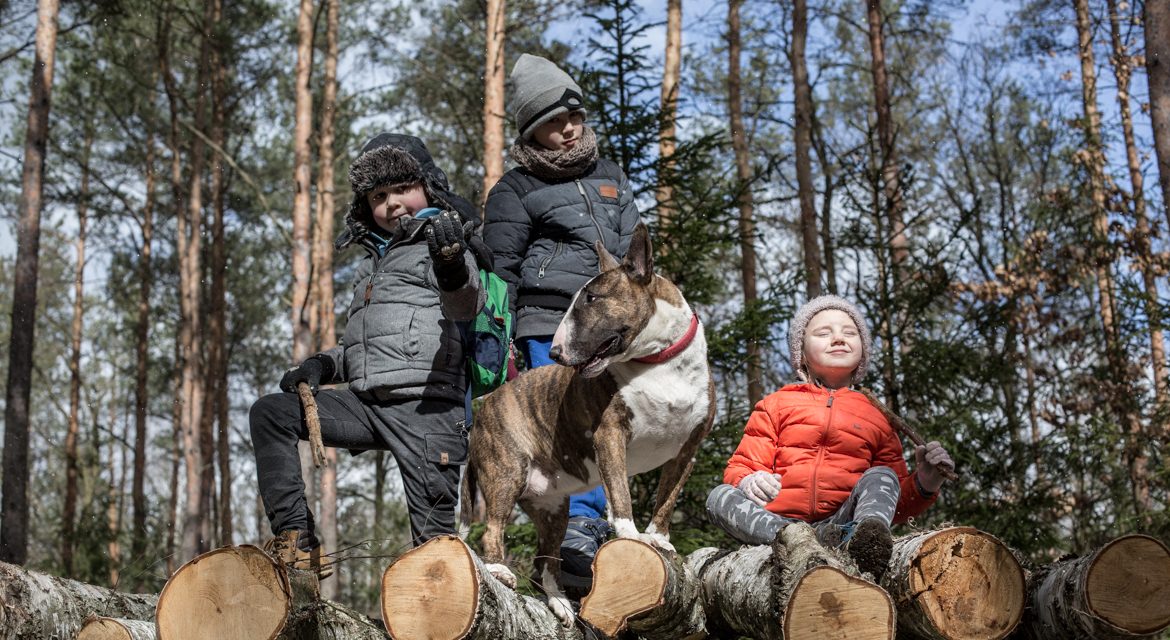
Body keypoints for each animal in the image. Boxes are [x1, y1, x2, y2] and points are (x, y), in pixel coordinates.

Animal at [460, 224, 716, 627]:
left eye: (592, 298)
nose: (555, 353)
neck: (659, 362)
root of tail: (484, 407)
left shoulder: (688, 450)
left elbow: (667, 497)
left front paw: (659, 538)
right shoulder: (610, 436)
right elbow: (621, 496)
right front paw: (632, 537)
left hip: (553, 507)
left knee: (545, 561)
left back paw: (559, 603)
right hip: (506, 471)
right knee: (493, 531)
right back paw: (500, 571)